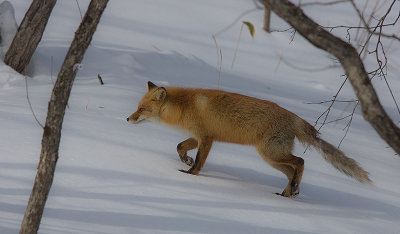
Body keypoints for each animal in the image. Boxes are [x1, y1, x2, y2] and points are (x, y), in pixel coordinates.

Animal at [128, 81, 372, 197]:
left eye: (141, 109)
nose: (128, 118)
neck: (185, 105)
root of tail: (295, 118)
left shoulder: (207, 138)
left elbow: (198, 161)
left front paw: (190, 174)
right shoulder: (199, 136)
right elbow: (180, 146)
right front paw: (184, 160)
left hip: (270, 153)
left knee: (301, 162)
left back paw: (292, 190)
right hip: (272, 159)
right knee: (292, 171)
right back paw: (288, 193)